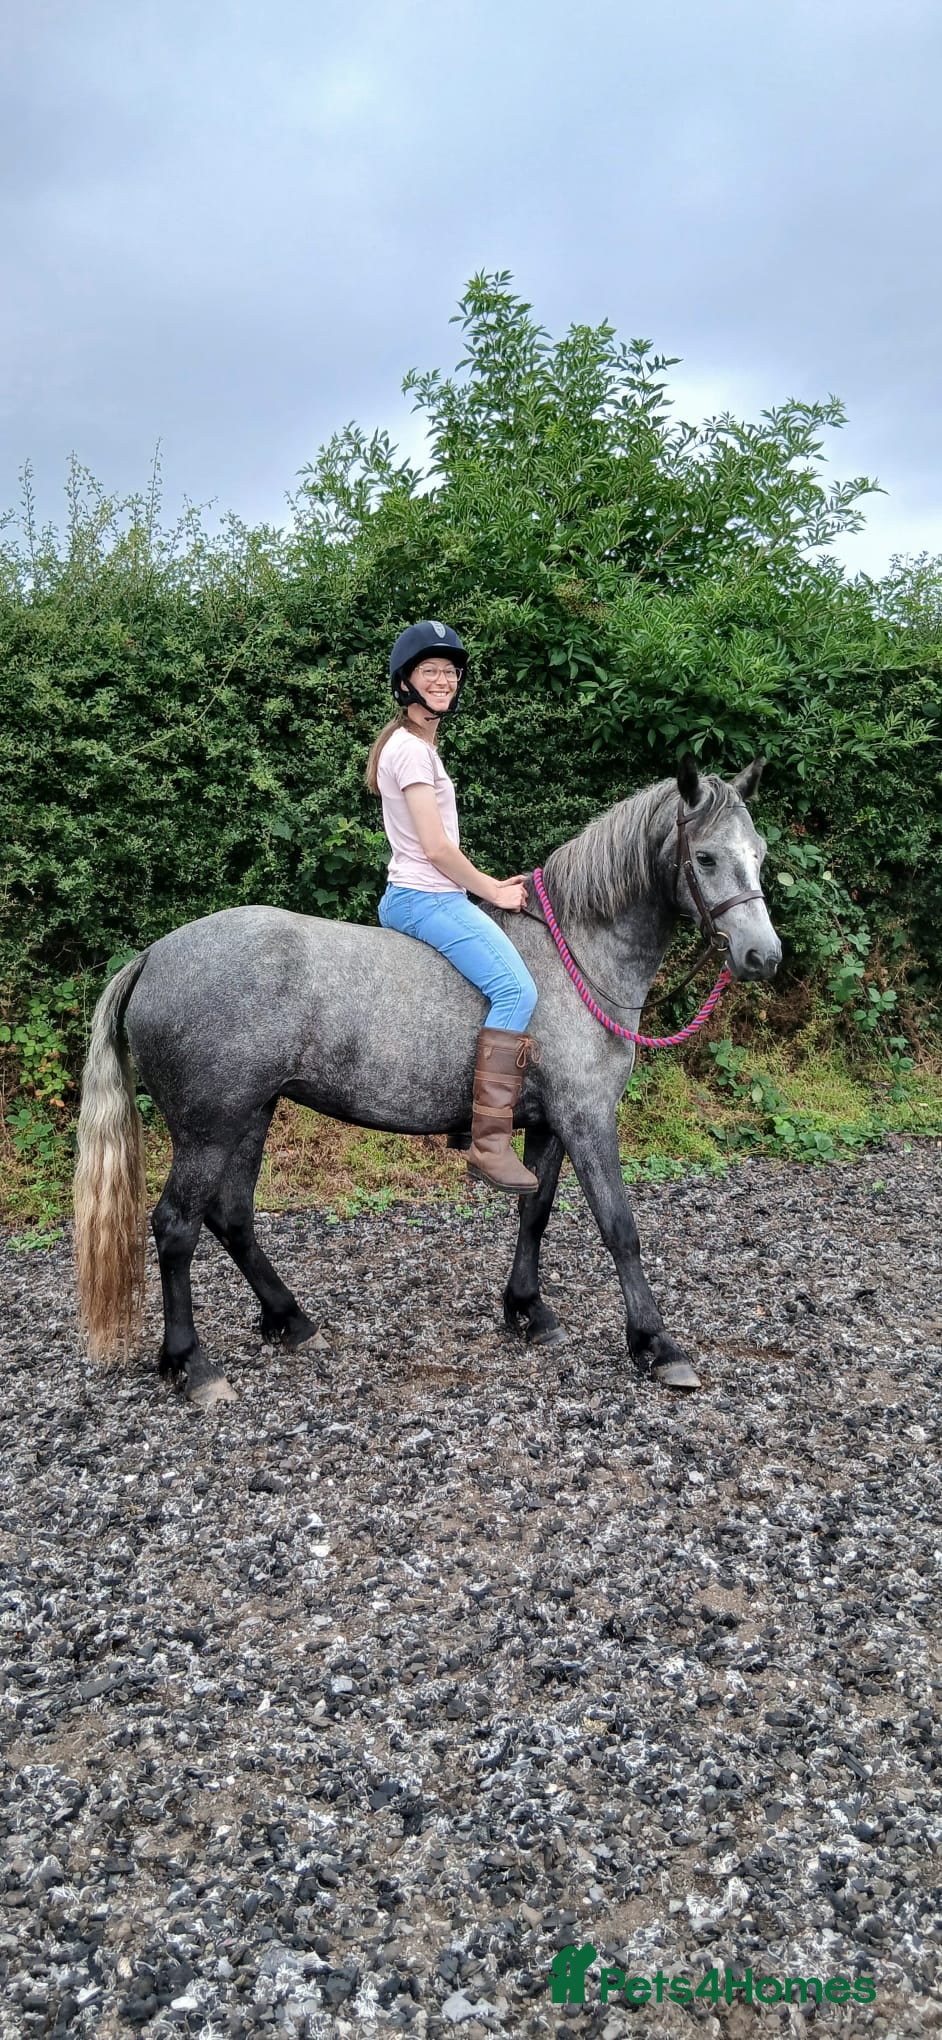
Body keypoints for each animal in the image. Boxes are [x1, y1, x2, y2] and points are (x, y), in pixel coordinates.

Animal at [73, 757, 781, 1407]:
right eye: (706, 857)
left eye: (759, 854)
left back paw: (290, 1320)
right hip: (209, 1129)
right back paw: (191, 1365)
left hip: (251, 1114)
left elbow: (535, 1213)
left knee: (232, 1217)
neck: (575, 954)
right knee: (176, 1227)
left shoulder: (550, 1123)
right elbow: (620, 1228)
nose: (763, 956)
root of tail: (153, 956)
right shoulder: (586, 1118)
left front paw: (528, 1310)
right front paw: (657, 1345)